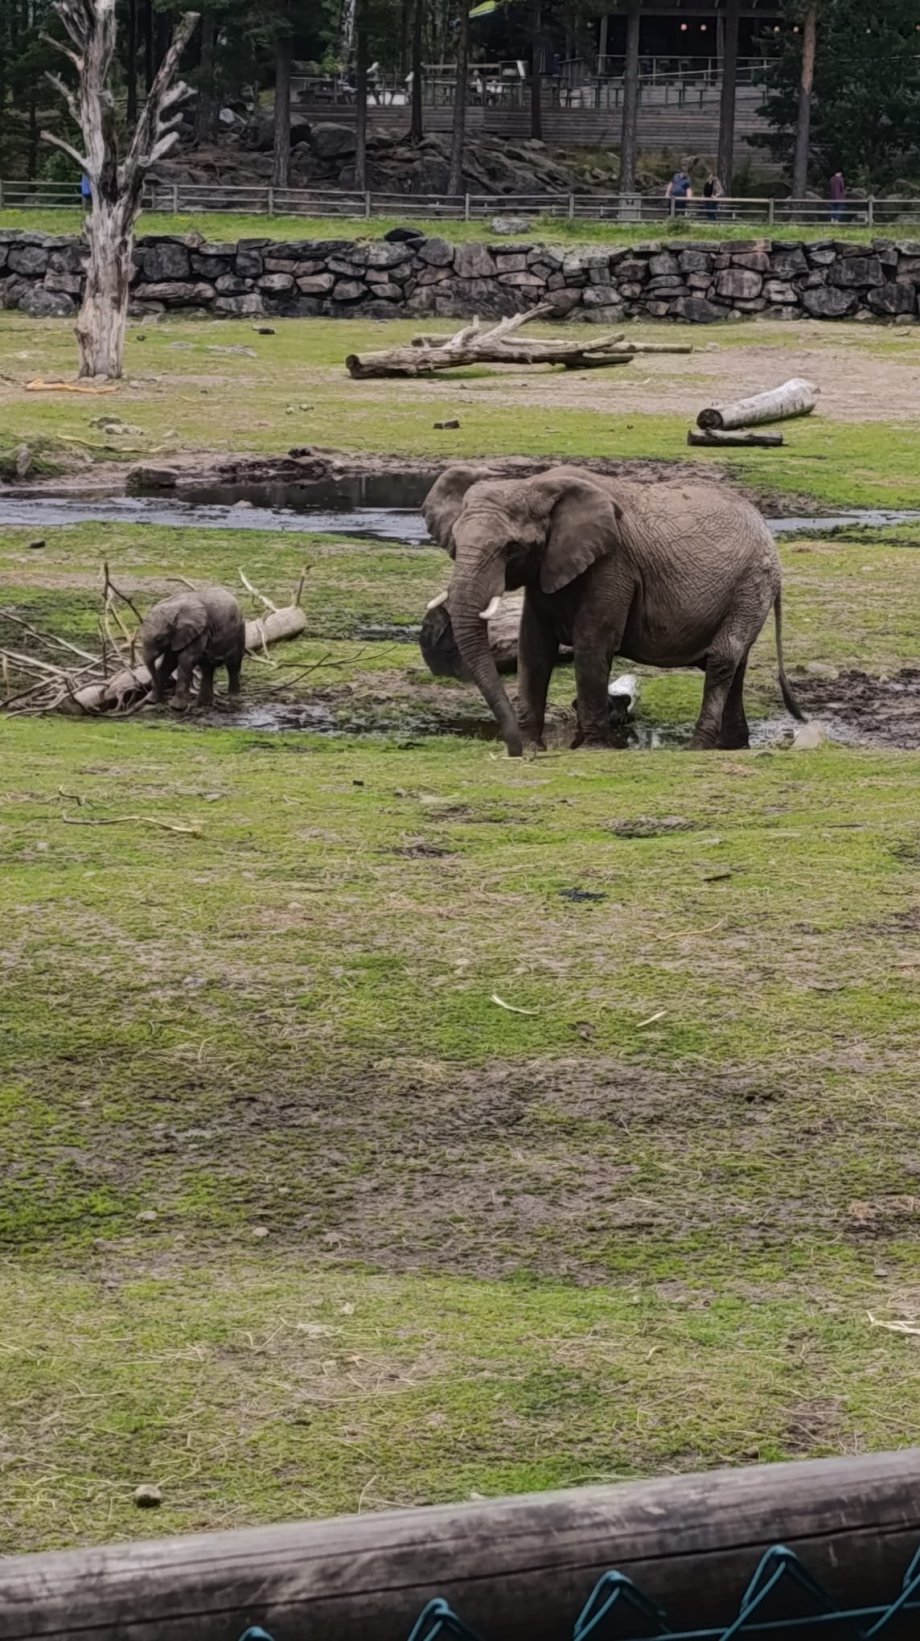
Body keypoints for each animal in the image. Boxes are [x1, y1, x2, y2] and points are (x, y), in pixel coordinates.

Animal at [423, 466, 803, 758]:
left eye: (511, 548)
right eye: (455, 540)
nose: (514, 752)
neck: (536, 484)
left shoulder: (613, 564)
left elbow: (592, 642)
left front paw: (592, 748)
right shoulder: (549, 567)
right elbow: (533, 646)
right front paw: (533, 746)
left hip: (752, 583)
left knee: (723, 659)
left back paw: (697, 747)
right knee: (736, 664)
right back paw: (734, 746)